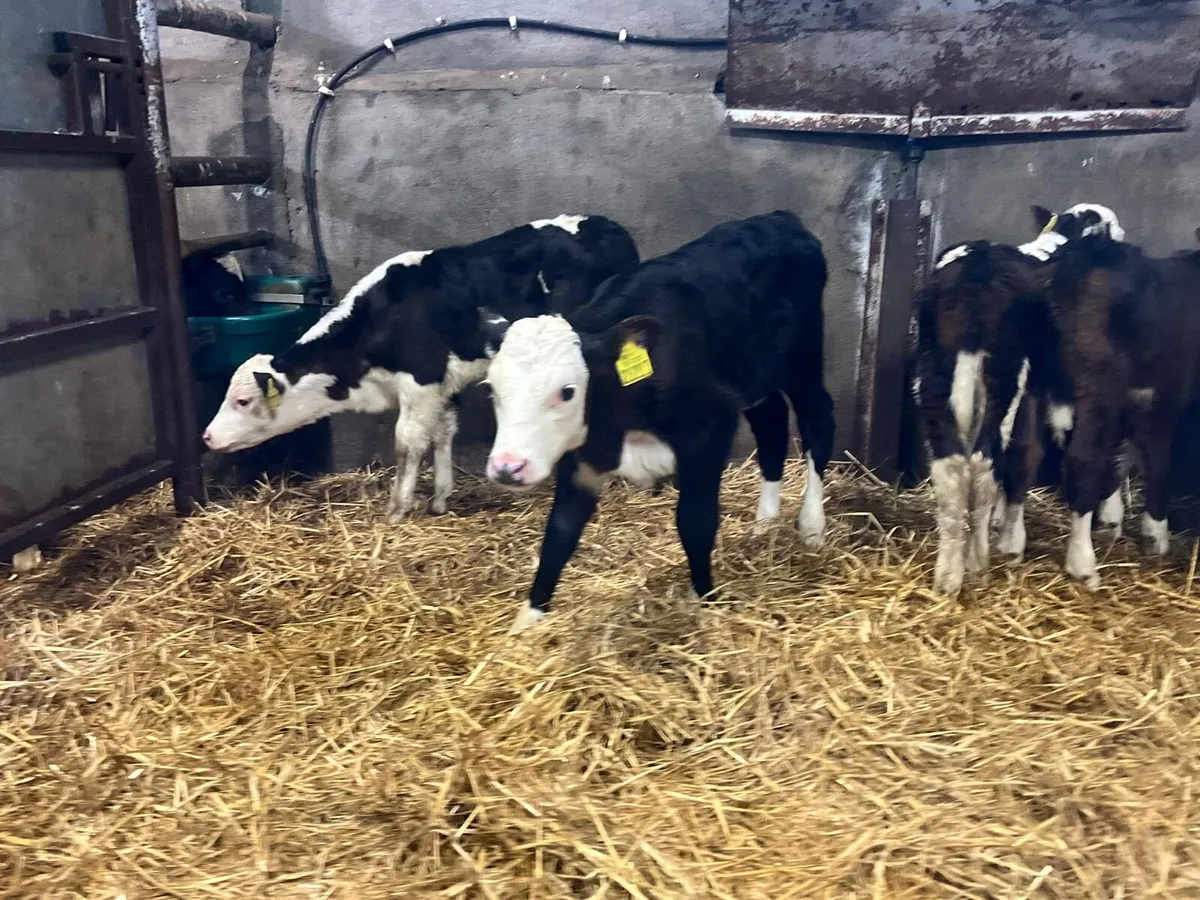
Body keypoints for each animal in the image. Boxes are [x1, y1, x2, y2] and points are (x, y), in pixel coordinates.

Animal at [202, 215, 639, 521]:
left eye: (243, 401)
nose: (206, 436)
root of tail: (606, 225)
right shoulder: (443, 385)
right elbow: (443, 433)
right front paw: (440, 499)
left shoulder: (420, 381)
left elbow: (408, 443)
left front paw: (397, 510)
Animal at [480, 211, 835, 635]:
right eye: (492, 388)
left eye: (567, 391)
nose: (508, 467)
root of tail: (780, 218)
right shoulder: (582, 456)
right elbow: (560, 532)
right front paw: (529, 618)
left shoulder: (708, 430)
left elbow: (695, 521)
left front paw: (706, 598)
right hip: (755, 376)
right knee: (772, 426)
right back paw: (764, 524)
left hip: (803, 358)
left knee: (817, 420)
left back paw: (812, 527)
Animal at [914, 203, 1125, 596]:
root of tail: (976, 273)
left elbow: (1021, 457)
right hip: (1005, 376)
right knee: (982, 463)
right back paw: (977, 562)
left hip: (934, 371)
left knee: (952, 468)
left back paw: (948, 575)